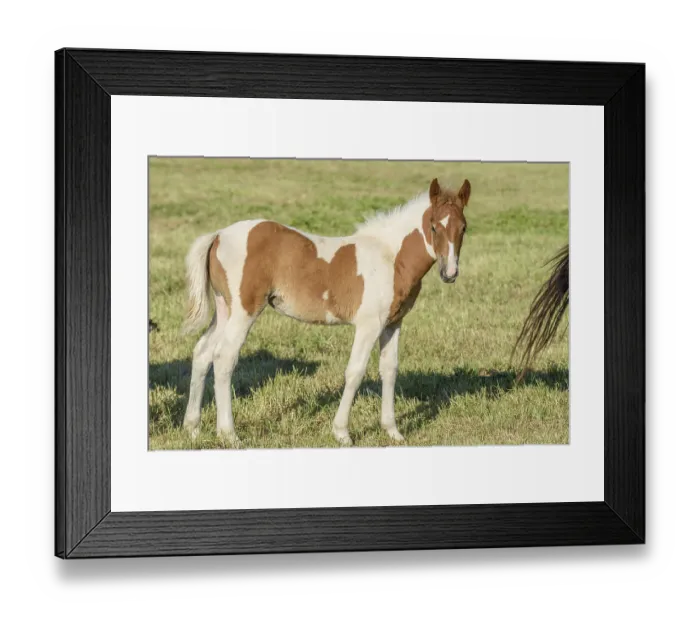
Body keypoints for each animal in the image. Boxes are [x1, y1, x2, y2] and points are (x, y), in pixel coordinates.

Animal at [180, 177, 471, 447]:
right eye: (433, 226)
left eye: (463, 228)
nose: (449, 273)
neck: (391, 257)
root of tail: (218, 235)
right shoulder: (369, 325)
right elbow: (355, 372)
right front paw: (342, 433)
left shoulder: (392, 324)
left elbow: (389, 370)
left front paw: (393, 431)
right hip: (244, 311)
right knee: (224, 357)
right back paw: (229, 434)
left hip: (224, 309)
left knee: (203, 352)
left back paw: (192, 428)